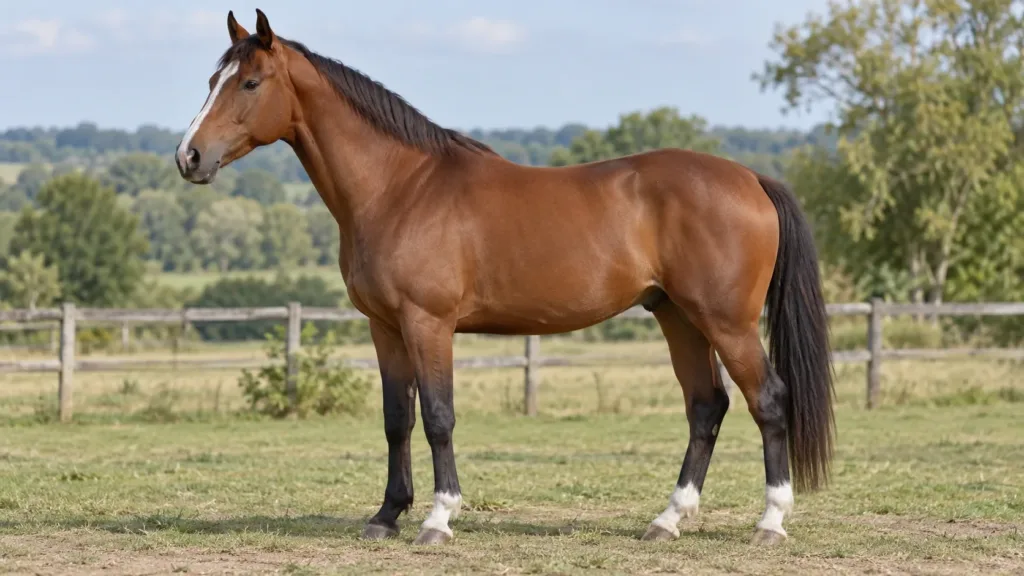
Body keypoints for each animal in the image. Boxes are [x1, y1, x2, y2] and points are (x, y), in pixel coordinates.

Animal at [175, 9, 835, 547]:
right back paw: (667, 520)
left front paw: (439, 518)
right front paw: (386, 516)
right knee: (706, 406)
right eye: (210, 82)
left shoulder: (428, 323)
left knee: (768, 401)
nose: (189, 157)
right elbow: (396, 420)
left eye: (250, 83)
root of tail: (751, 179)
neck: (399, 188)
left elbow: (438, 417)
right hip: (678, 316)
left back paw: (770, 523)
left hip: (726, 322)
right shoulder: (385, 328)